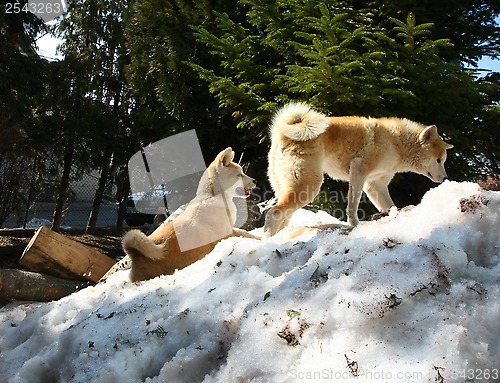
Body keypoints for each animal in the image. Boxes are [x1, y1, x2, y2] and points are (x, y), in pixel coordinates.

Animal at [123, 147, 260, 282]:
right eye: (239, 174)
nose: (255, 181)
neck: (212, 195)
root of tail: (136, 255)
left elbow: (246, 232)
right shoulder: (227, 234)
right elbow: (245, 235)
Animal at [266, 103, 454, 237]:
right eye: (438, 160)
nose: (445, 178)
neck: (396, 143)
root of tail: (282, 133)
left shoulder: (375, 185)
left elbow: (389, 205)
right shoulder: (359, 171)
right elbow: (352, 205)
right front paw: (354, 225)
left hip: (290, 188)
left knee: (283, 216)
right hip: (308, 186)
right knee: (273, 212)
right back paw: (268, 238)